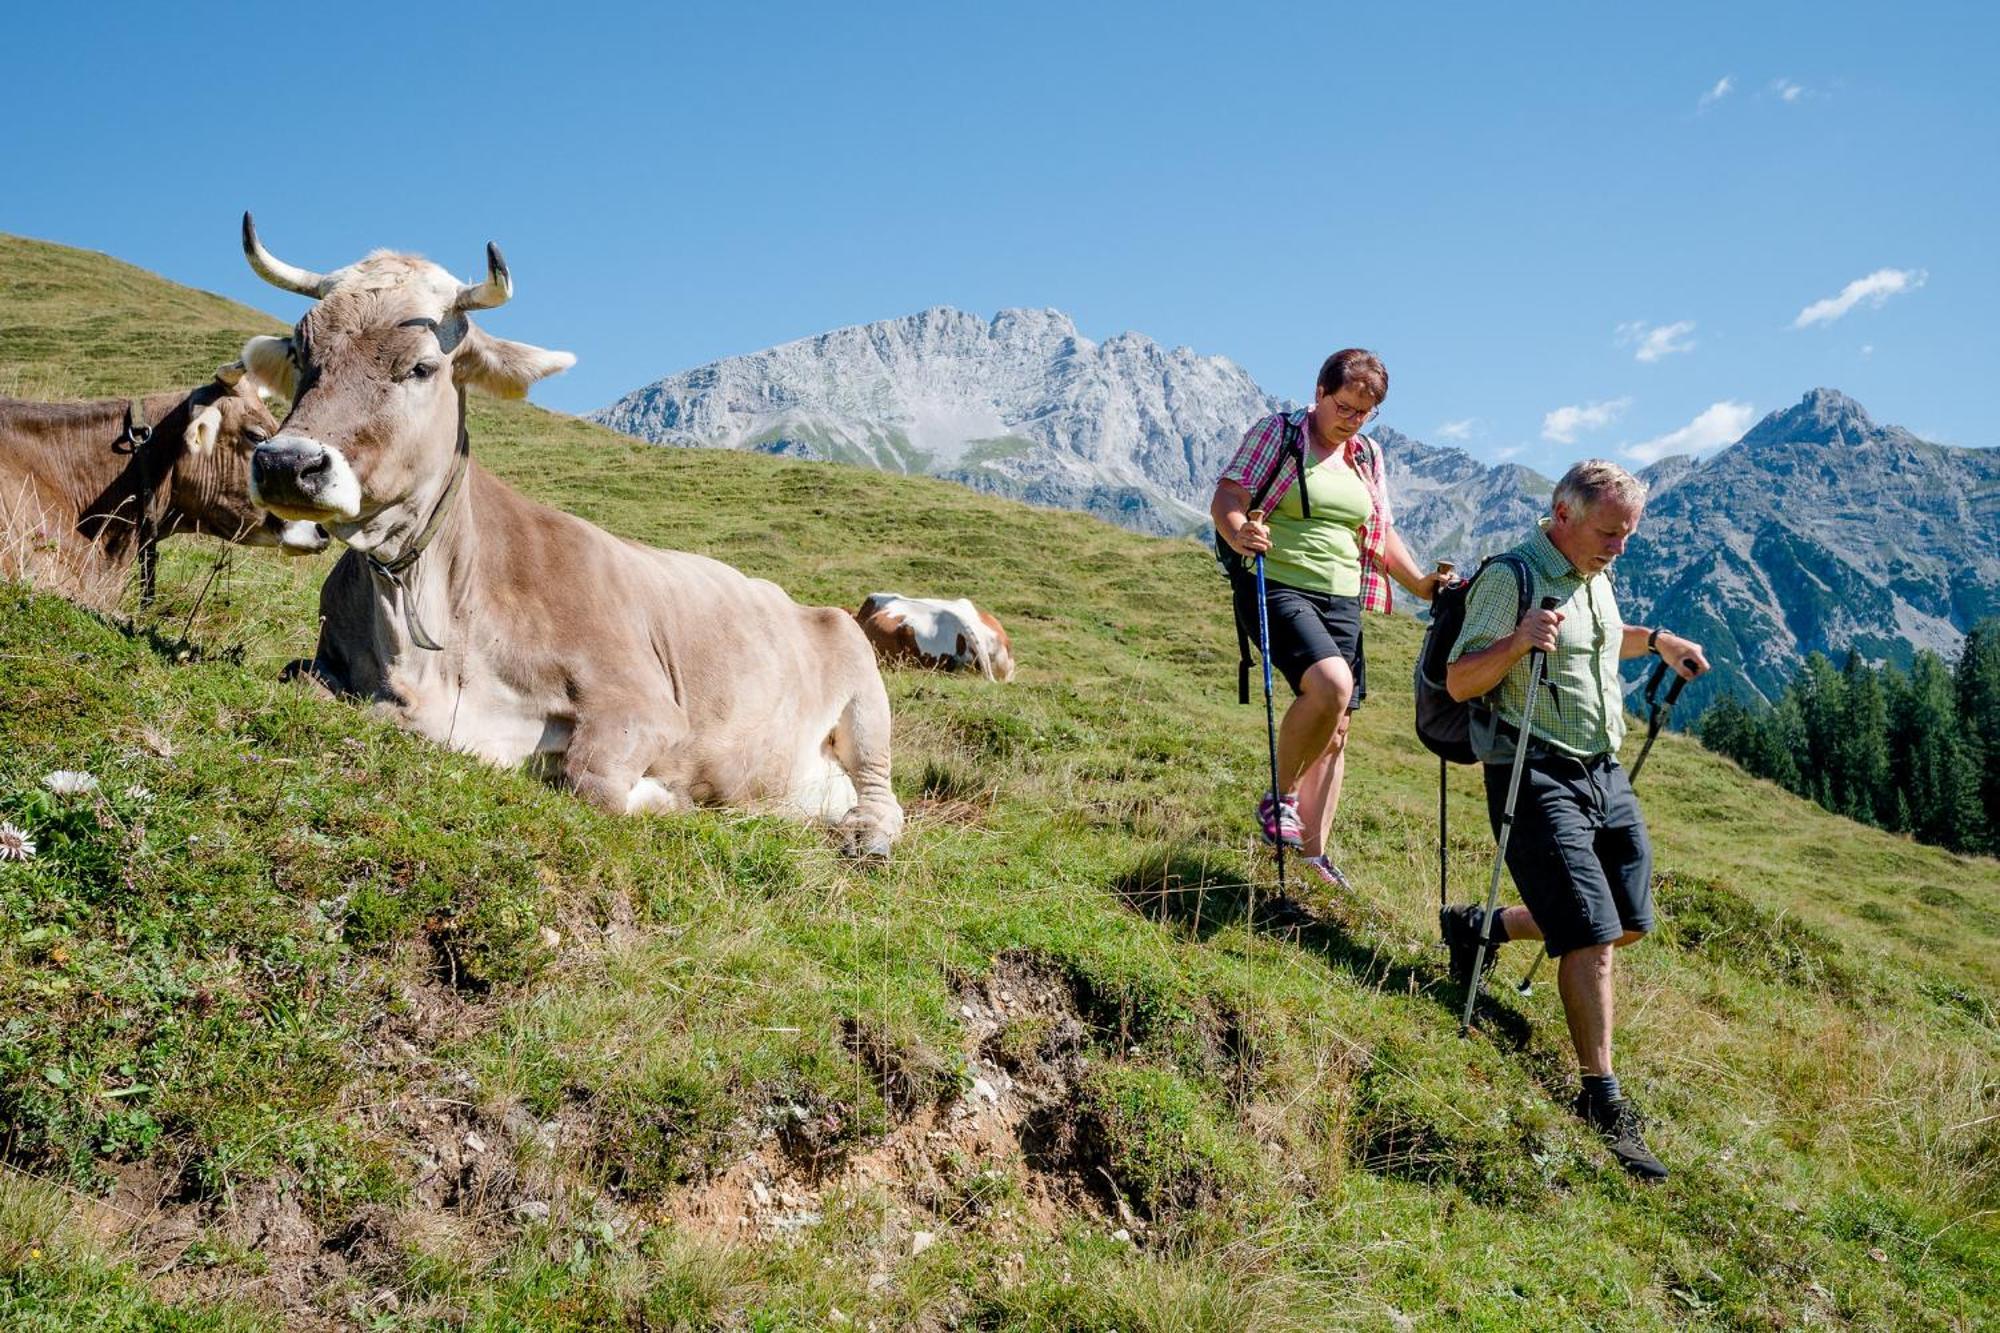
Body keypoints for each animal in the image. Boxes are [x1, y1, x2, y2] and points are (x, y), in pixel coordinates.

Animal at [238, 208, 912, 852]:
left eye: (422, 367)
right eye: (302, 354)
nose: (287, 463)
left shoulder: (646, 705)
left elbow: (592, 778)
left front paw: (665, 797)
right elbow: (298, 681)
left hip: (865, 695)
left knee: (882, 792)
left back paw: (865, 832)